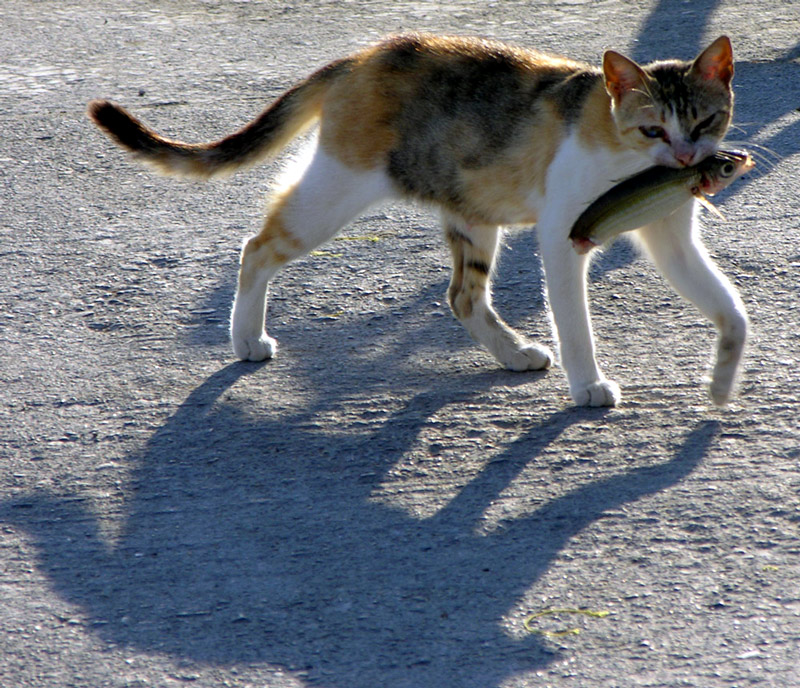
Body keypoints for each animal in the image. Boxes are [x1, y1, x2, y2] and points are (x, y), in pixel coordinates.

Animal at [84, 32, 748, 406]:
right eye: (653, 129)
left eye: (705, 121)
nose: (686, 159)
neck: (623, 150)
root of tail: (359, 56)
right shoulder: (566, 233)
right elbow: (575, 325)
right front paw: (587, 385)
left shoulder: (670, 237)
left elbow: (731, 311)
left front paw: (721, 382)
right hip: (335, 192)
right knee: (256, 246)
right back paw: (246, 338)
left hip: (473, 212)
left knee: (462, 297)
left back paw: (511, 353)